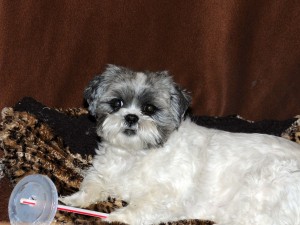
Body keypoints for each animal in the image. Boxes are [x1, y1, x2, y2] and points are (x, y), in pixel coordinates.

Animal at [59, 65, 300, 225]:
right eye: (116, 103)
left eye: (149, 109)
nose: (131, 117)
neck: (134, 155)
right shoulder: (103, 172)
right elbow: (91, 185)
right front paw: (73, 199)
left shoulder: (168, 195)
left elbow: (141, 207)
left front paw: (115, 217)